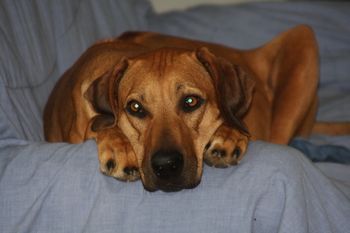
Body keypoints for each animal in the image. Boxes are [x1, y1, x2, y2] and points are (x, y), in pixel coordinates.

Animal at [43, 25, 322, 191]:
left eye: (190, 101)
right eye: (135, 107)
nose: (166, 166)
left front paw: (229, 135)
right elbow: (102, 124)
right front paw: (120, 147)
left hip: (302, 39)